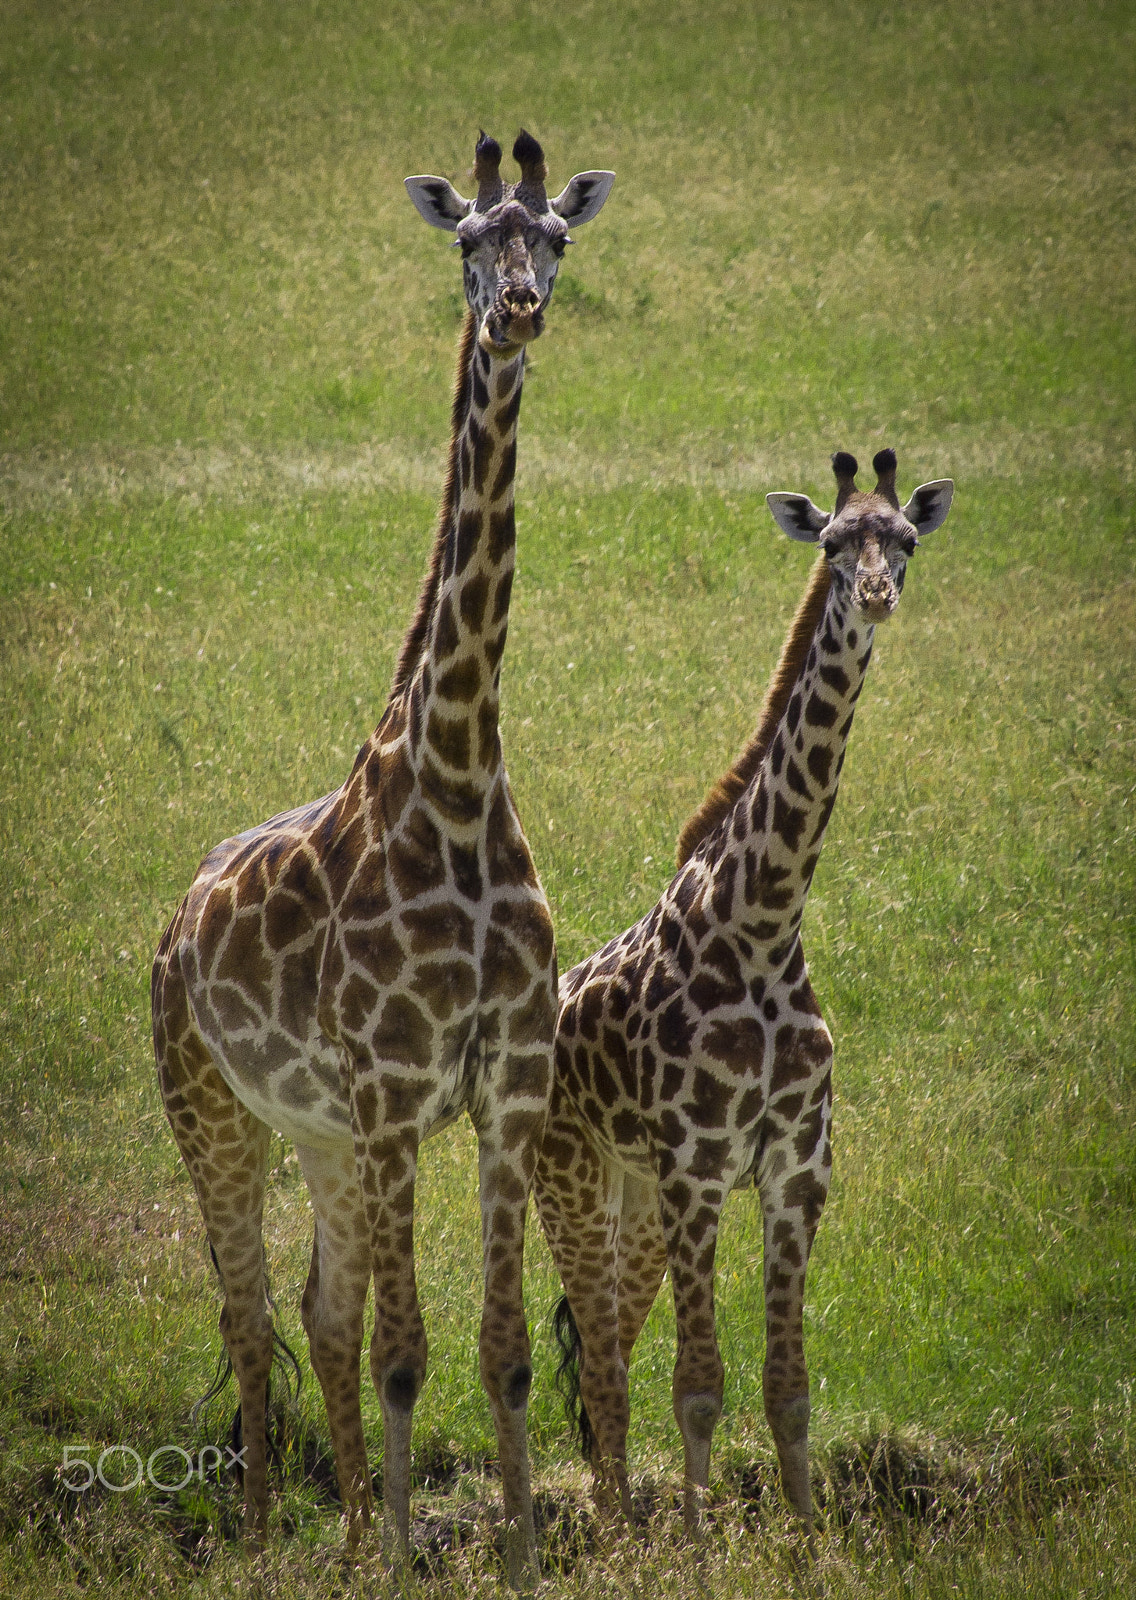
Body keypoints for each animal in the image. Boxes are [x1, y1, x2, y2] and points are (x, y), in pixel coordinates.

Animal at [150, 131, 613, 1586]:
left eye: (554, 240)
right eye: (467, 239)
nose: (516, 312)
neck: (457, 776)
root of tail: (172, 922)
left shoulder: (503, 1084)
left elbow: (500, 1352)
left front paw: (513, 1557)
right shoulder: (403, 1088)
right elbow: (414, 1354)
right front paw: (419, 1559)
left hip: (323, 1132)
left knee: (320, 1310)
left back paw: (351, 1533)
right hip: (215, 1108)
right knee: (249, 1312)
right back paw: (262, 1538)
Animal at [533, 450, 953, 1544]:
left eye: (904, 538)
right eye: (832, 543)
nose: (877, 595)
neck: (762, 924)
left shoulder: (796, 1167)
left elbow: (784, 1388)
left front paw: (807, 1548)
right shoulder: (696, 1165)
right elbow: (697, 1386)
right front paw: (694, 1552)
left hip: (634, 1201)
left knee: (607, 1355)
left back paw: (622, 1523)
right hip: (569, 1177)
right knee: (603, 1364)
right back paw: (624, 1541)